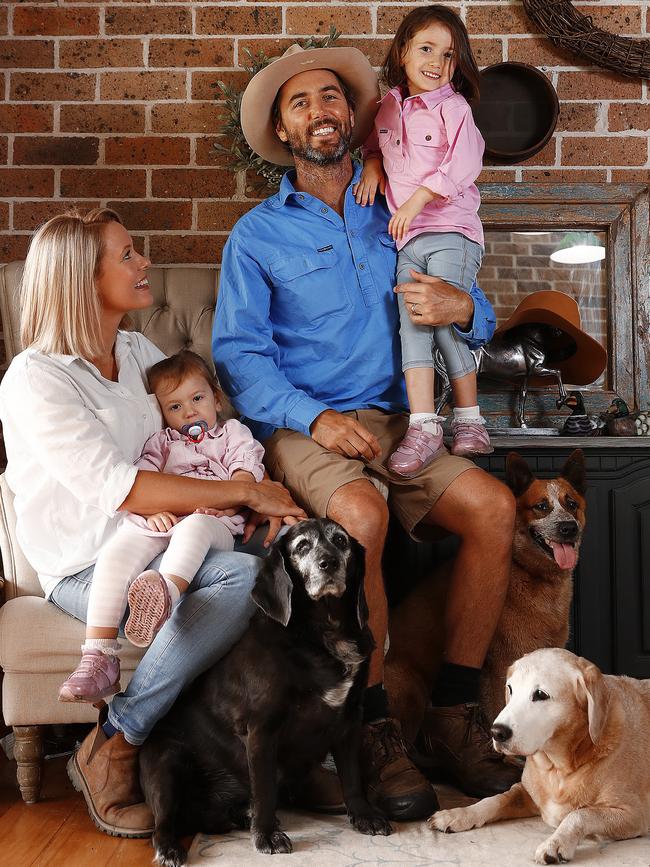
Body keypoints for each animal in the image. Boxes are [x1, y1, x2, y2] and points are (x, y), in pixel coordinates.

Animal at [139, 520, 390, 864]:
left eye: (341, 541)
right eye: (302, 546)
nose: (329, 563)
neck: (325, 631)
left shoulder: (350, 719)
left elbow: (352, 777)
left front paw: (364, 815)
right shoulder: (261, 729)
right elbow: (266, 789)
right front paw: (267, 835)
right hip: (166, 763)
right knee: (163, 822)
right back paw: (171, 847)